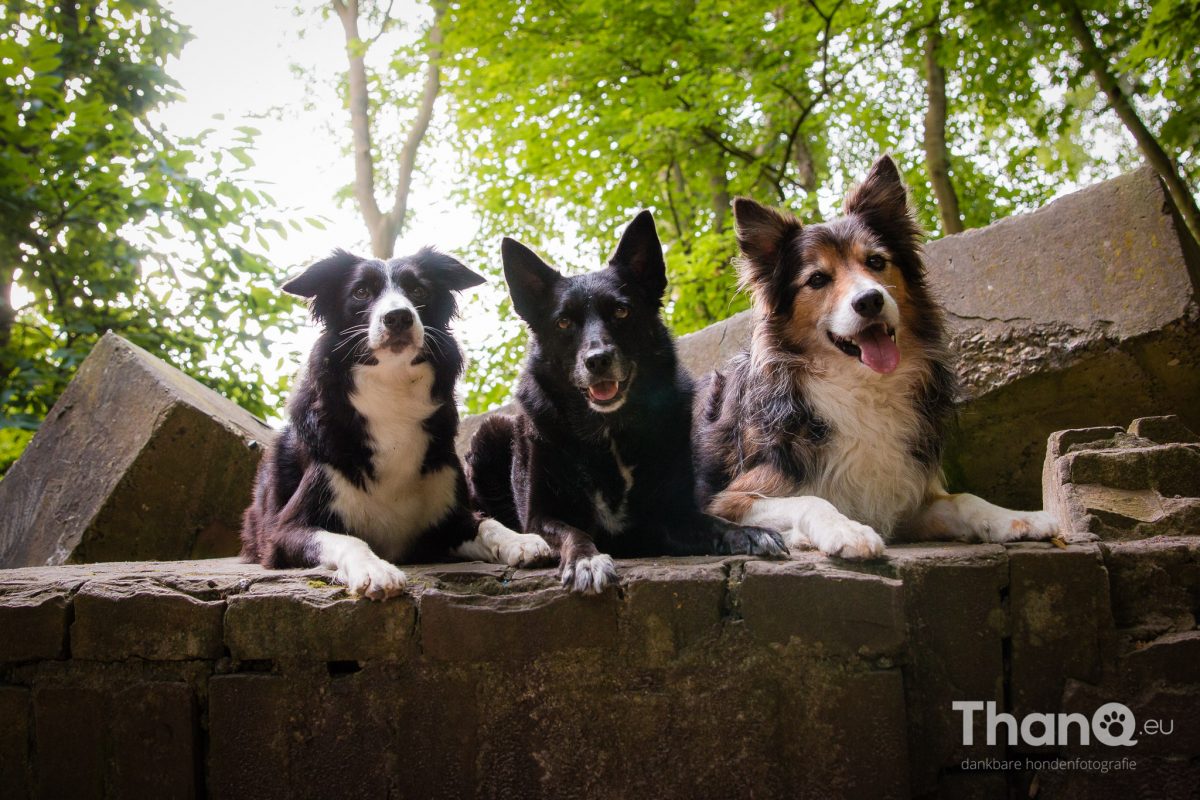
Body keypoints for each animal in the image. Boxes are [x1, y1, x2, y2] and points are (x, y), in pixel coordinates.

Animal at [244, 247, 552, 597]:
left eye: (418, 291)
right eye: (361, 292)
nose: (399, 317)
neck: (392, 388)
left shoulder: (447, 521)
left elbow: (488, 524)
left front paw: (522, 541)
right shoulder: (285, 533)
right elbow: (348, 540)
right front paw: (375, 569)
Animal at [465, 209, 787, 592]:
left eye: (621, 312)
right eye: (563, 322)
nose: (598, 359)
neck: (609, 431)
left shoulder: (669, 517)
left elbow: (713, 523)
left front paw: (750, 532)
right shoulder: (541, 515)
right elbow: (573, 533)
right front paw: (586, 560)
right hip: (491, 432)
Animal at [696, 154, 1060, 556]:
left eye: (875, 261)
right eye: (817, 279)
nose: (869, 300)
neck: (863, 386)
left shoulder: (903, 497)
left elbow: (965, 499)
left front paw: (1019, 517)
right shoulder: (730, 497)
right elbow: (812, 500)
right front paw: (846, 530)